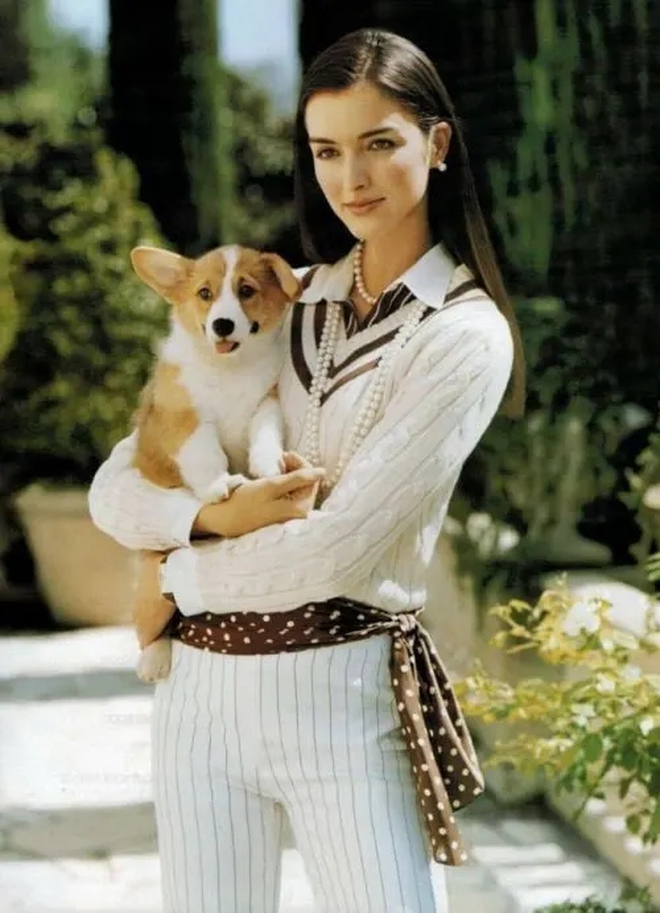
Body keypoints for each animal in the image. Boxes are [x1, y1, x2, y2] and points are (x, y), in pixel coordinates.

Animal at [128, 243, 302, 682]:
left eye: (246, 290)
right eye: (204, 294)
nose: (222, 325)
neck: (228, 370)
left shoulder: (267, 401)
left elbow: (264, 432)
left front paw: (268, 464)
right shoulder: (185, 419)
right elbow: (206, 453)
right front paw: (218, 484)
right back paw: (154, 657)